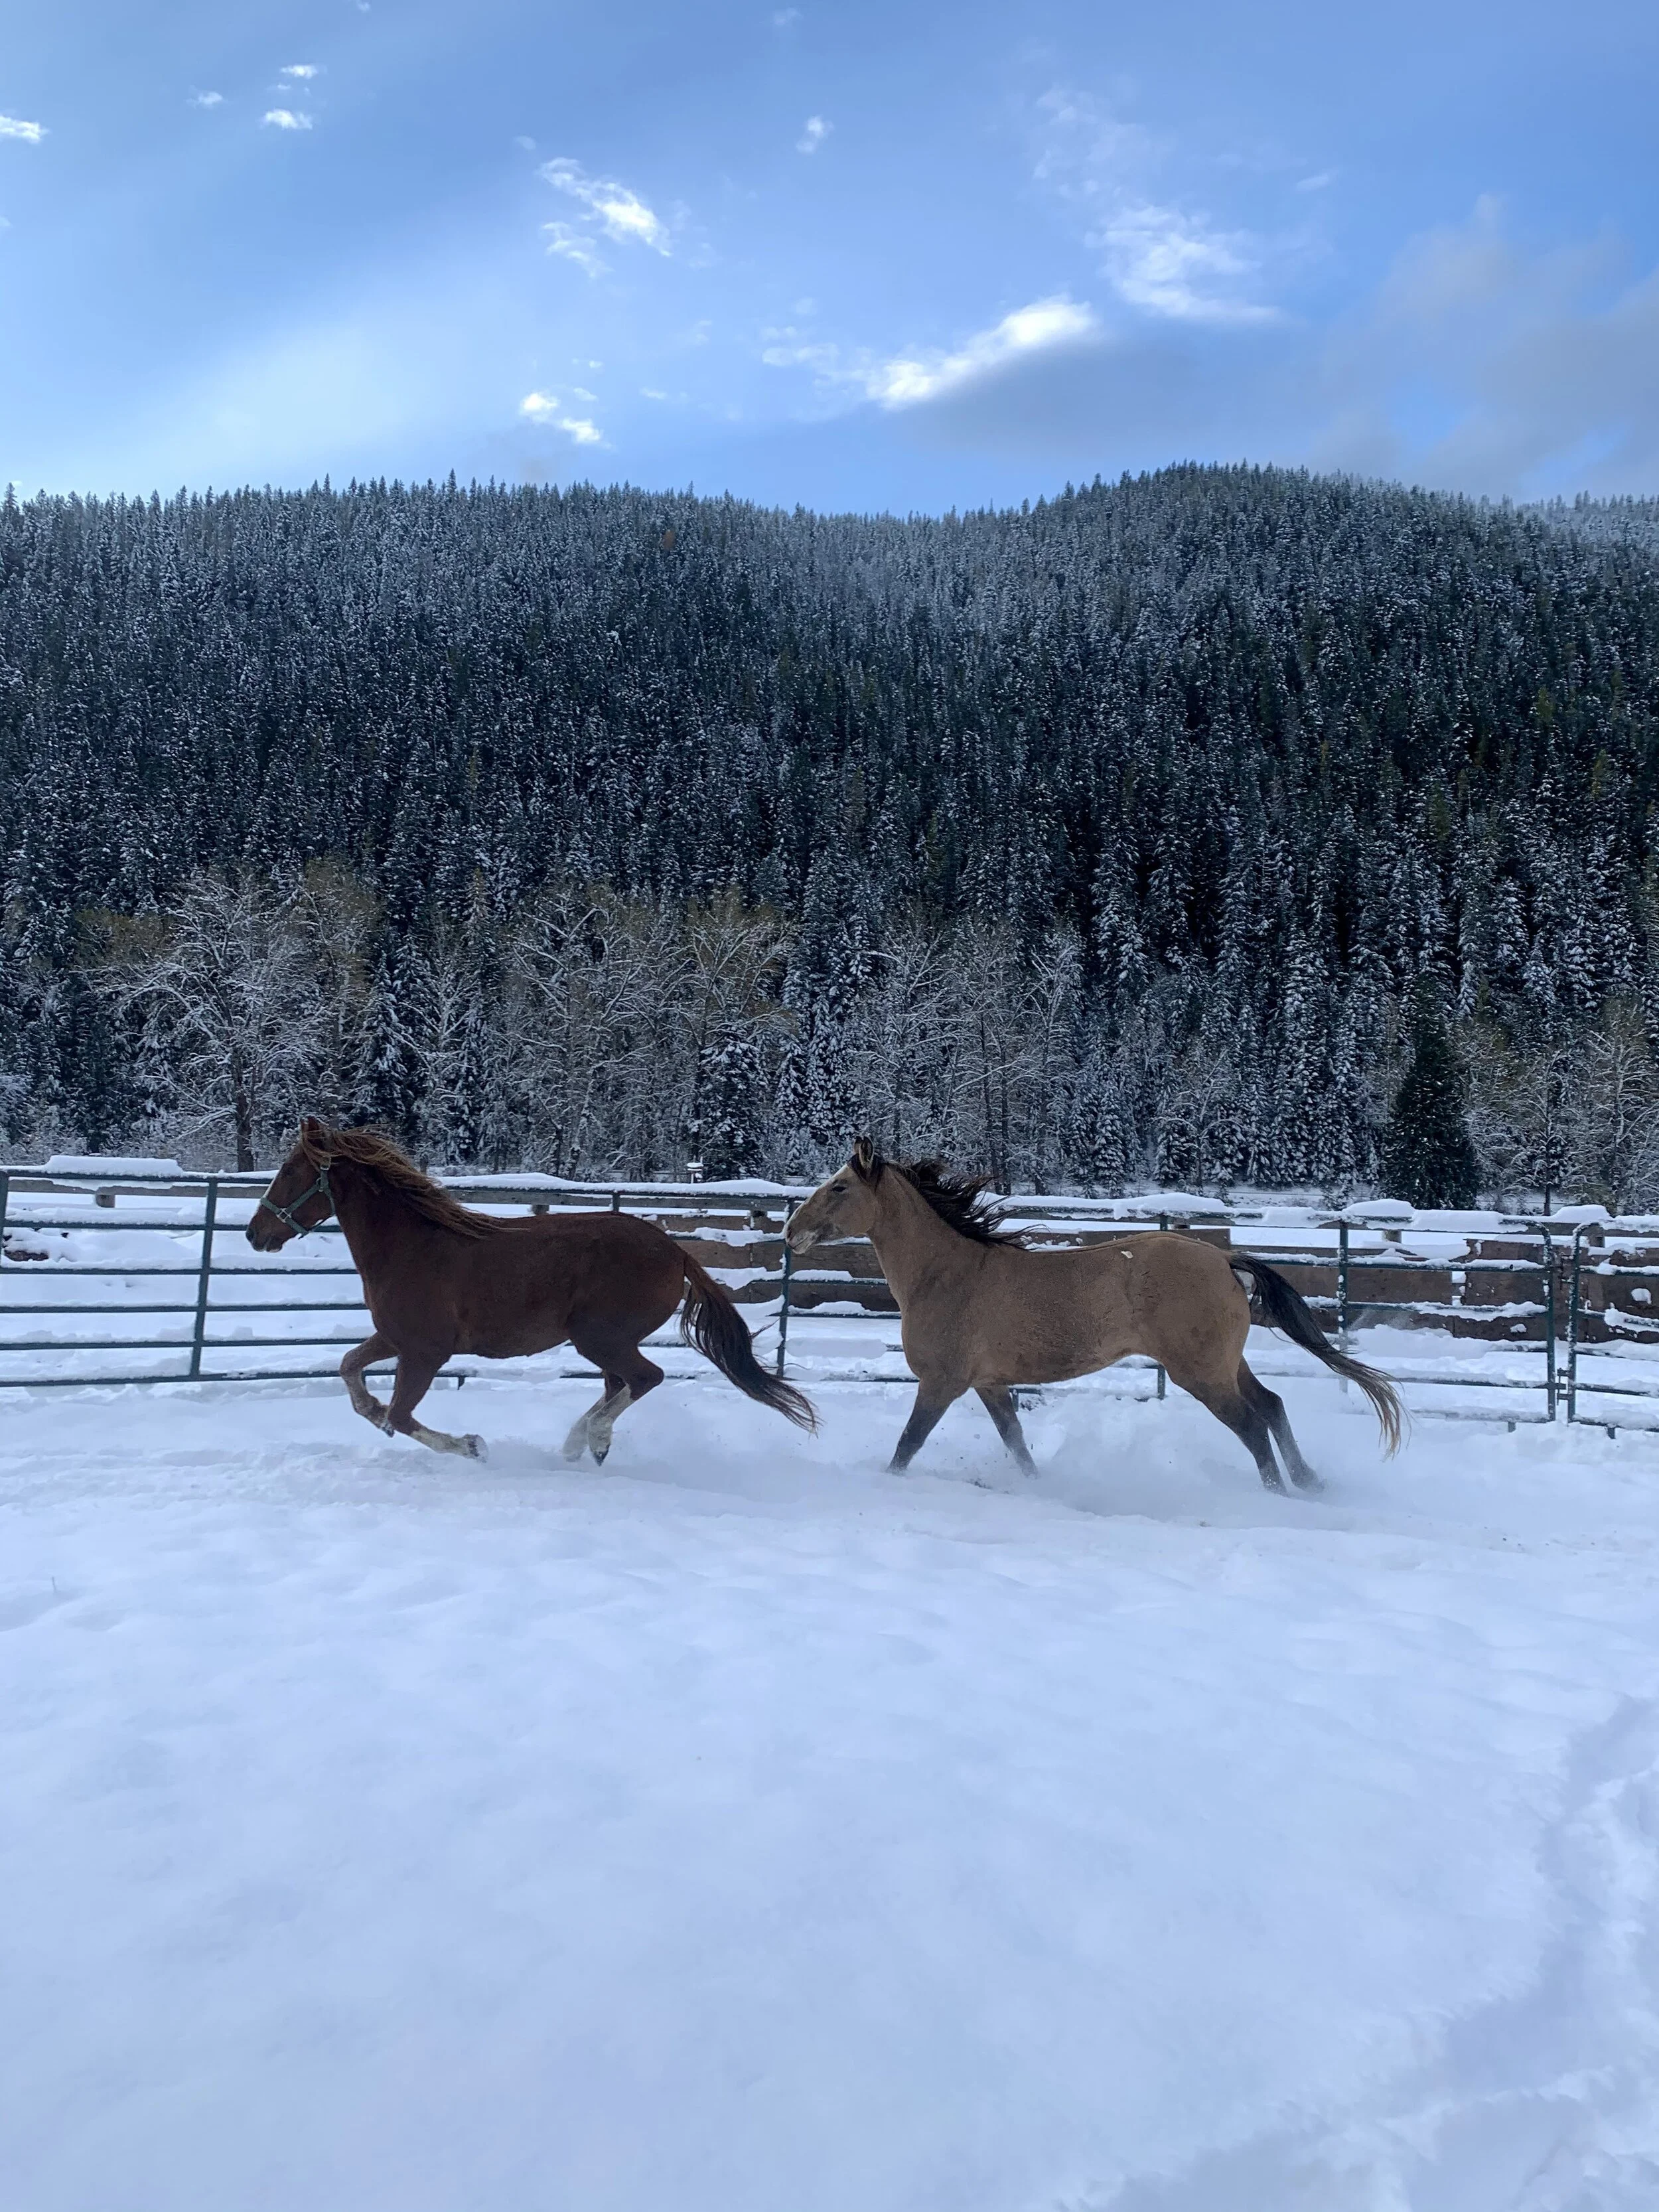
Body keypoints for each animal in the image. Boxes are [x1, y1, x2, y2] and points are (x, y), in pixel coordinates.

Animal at [248, 1118, 816, 1462]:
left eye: (289, 1169)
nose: (255, 1233)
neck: (413, 1245)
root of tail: (676, 1252)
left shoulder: (426, 1351)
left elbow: (402, 1416)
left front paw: (471, 1446)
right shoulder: (394, 1338)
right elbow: (352, 1371)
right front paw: (370, 1409)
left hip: (600, 1337)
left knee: (643, 1378)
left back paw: (589, 1438)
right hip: (604, 1342)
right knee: (619, 1385)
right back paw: (583, 1443)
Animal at [785, 1140, 1401, 1489]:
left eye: (839, 1186)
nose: (792, 1231)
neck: (946, 1273)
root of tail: (1223, 1258)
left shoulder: (942, 1382)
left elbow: (907, 1446)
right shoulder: (989, 1383)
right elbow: (1017, 1444)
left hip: (1201, 1372)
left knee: (1252, 1425)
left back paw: (1280, 1495)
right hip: (1226, 1365)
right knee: (1271, 1406)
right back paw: (1310, 1481)